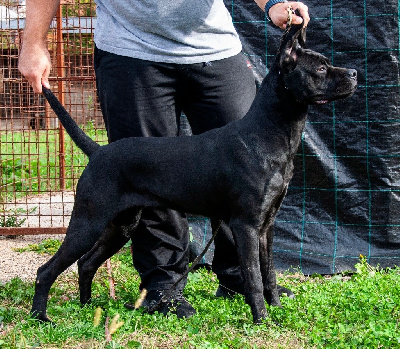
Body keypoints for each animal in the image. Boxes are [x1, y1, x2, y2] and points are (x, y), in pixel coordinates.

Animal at [32, 23, 354, 324]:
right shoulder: (246, 225)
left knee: (86, 263)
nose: (353, 73)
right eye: (320, 68)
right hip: (88, 222)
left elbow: (269, 274)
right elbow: (253, 277)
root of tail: (98, 151)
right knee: (46, 269)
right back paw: (41, 317)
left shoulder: (267, 226)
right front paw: (262, 319)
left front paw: (275, 308)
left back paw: (87, 307)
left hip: (120, 225)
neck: (268, 133)